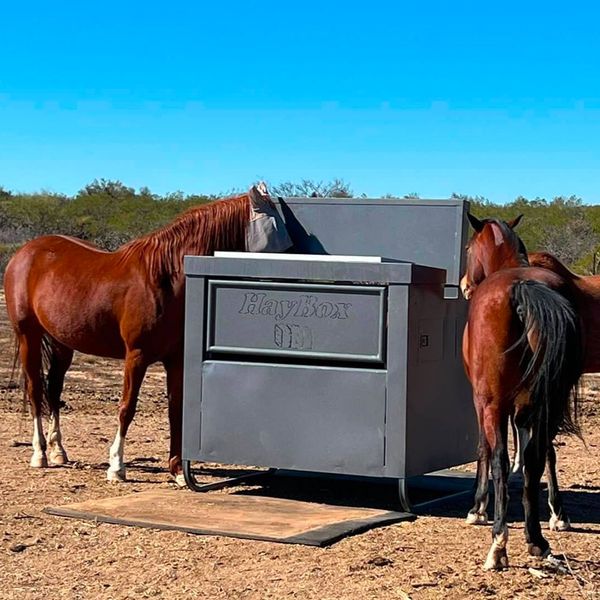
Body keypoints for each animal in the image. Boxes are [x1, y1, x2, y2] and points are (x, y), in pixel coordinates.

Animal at [3, 185, 294, 486]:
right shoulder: (136, 356)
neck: (164, 278)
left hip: (62, 342)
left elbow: (175, 410)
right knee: (35, 389)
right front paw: (116, 467)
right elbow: (127, 407)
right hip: (28, 336)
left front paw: (177, 471)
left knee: (53, 389)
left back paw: (58, 450)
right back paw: (40, 454)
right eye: (282, 245)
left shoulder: (176, 360)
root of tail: (25, 252)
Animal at [460, 213, 580, 568]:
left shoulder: (482, 402)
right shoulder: (527, 409)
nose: (464, 285)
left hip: (493, 403)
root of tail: (522, 287)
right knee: (537, 458)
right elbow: (529, 461)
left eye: (468, 248)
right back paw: (537, 540)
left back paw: (499, 544)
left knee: (501, 458)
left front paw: (478, 509)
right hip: (549, 403)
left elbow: (485, 450)